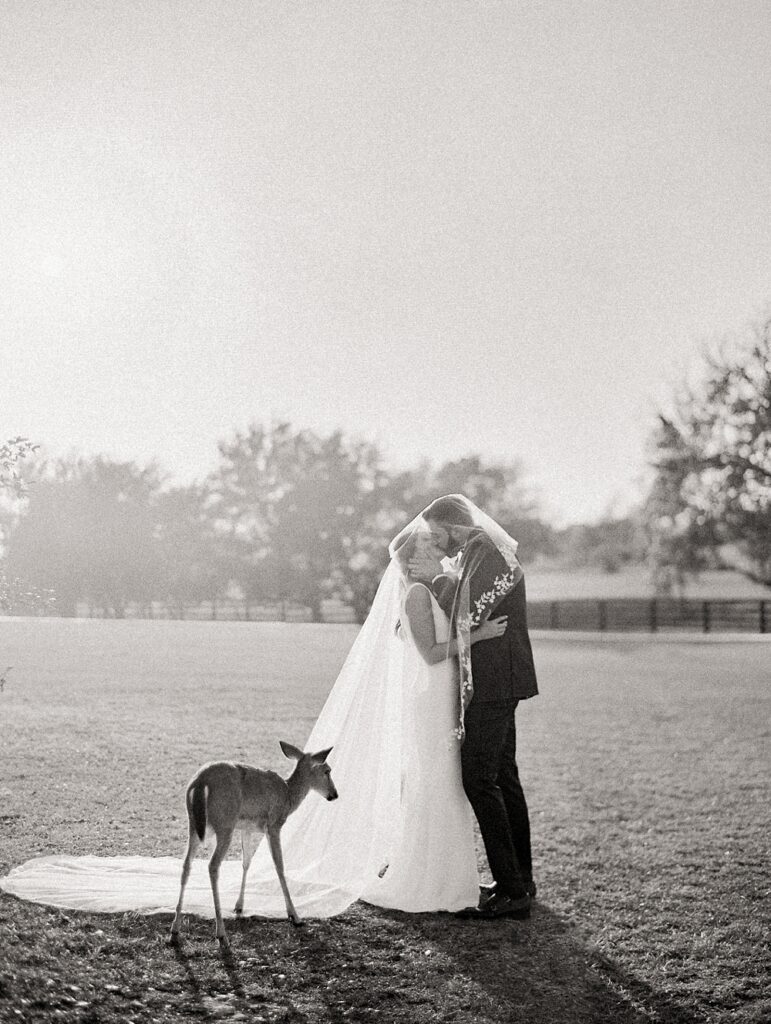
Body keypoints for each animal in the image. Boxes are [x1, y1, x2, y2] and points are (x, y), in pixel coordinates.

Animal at [167, 741, 335, 946]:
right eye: (327, 771)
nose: (334, 794)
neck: (288, 796)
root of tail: (200, 782)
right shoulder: (274, 825)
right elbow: (279, 866)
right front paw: (295, 916)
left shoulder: (246, 828)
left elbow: (246, 862)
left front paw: (239, 906)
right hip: (225, 823)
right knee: (213, 866)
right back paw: (221, 934)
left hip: (195, 825)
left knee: (186, 864)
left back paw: (175, 930)